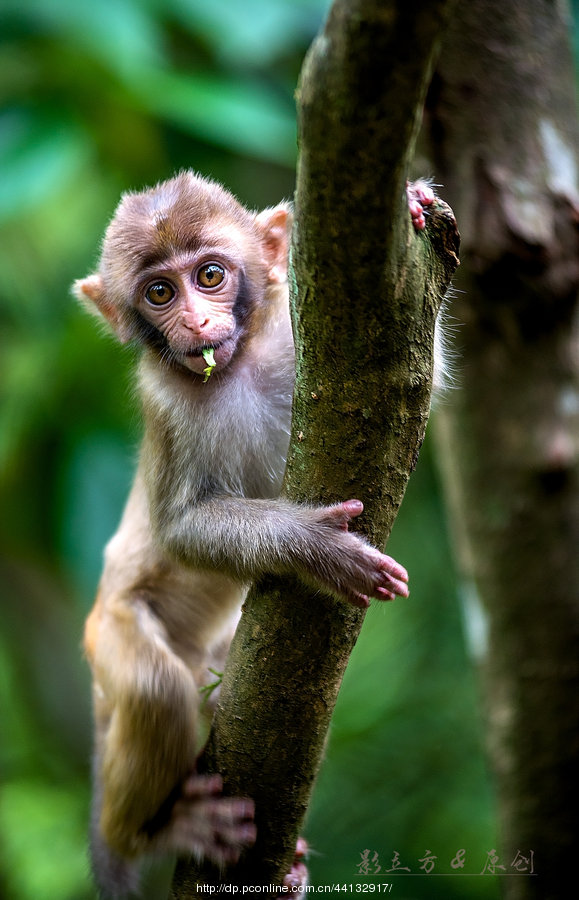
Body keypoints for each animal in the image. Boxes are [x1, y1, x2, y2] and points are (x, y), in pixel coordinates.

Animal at [75, 172, 442, 896]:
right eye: (159, 293)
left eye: (210, 276)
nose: (195, 321)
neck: (236, 363)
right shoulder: (165, 402)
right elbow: (181, 529)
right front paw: (317, 549)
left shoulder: (295, 350)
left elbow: (418, 380)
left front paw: (416, 201)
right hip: (112, 631)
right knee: (156, 689)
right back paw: (145, 833)